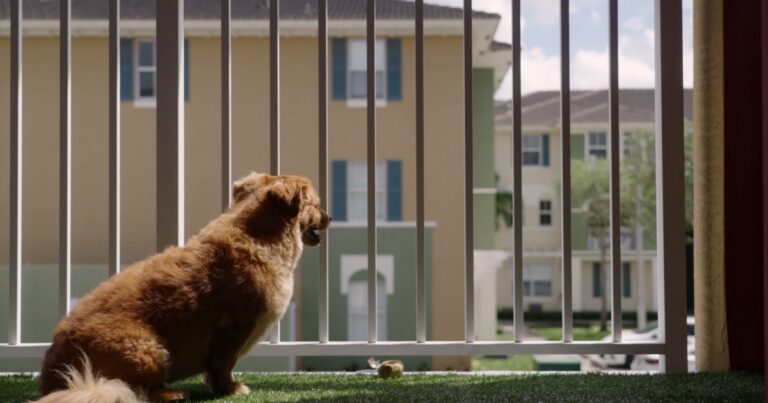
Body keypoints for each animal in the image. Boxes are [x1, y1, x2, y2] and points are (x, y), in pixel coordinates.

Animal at [36, 172, 330, 402]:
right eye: (315, 204)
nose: (329, 217)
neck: (258, 237)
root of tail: (54, 372)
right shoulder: (232, 328)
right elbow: (223, 365)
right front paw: (230, 388)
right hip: (148, 349)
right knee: (133, 390)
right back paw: (171, 393)